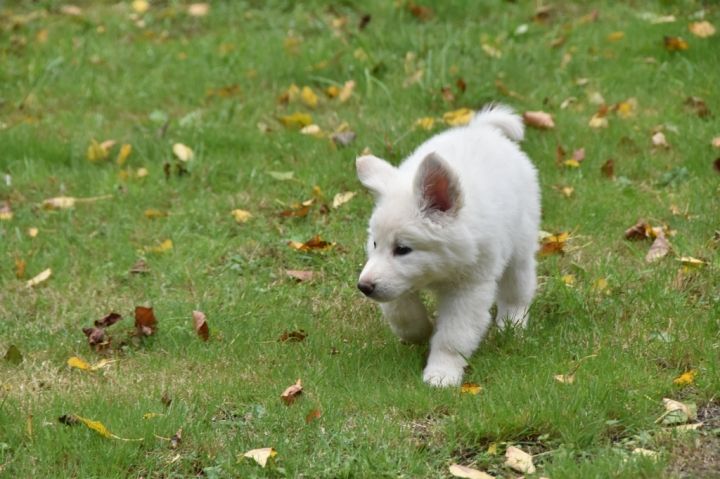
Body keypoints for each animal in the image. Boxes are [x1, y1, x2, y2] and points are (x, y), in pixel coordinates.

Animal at [356, 105, 540, 387]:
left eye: (403, 249)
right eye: (375, 243)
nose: (363, 287)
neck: (439, 271)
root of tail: (482, 129)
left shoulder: (470, 288)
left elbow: (453, 335)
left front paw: (442, 373)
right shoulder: (392, 279)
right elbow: (400, 311)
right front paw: (419, 331)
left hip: (519, 247)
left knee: (516, 291)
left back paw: (512, 324)